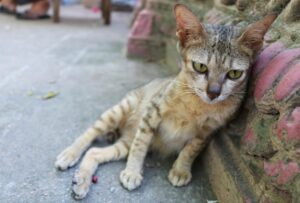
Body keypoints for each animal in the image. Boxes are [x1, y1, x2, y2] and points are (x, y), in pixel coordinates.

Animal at [54, 3, 276, 199]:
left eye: (234, 73)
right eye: (200, 67)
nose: (213, 93)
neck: (198, 106)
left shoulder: (207, 131)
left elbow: (190, 150)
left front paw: (181, 170)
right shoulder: (152, 112)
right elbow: (140, 145)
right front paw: (132, 172)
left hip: (124, 143)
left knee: (94, 152)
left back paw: (81, 182)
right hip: (121, 109)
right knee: (91, 134)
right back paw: (70, 155)